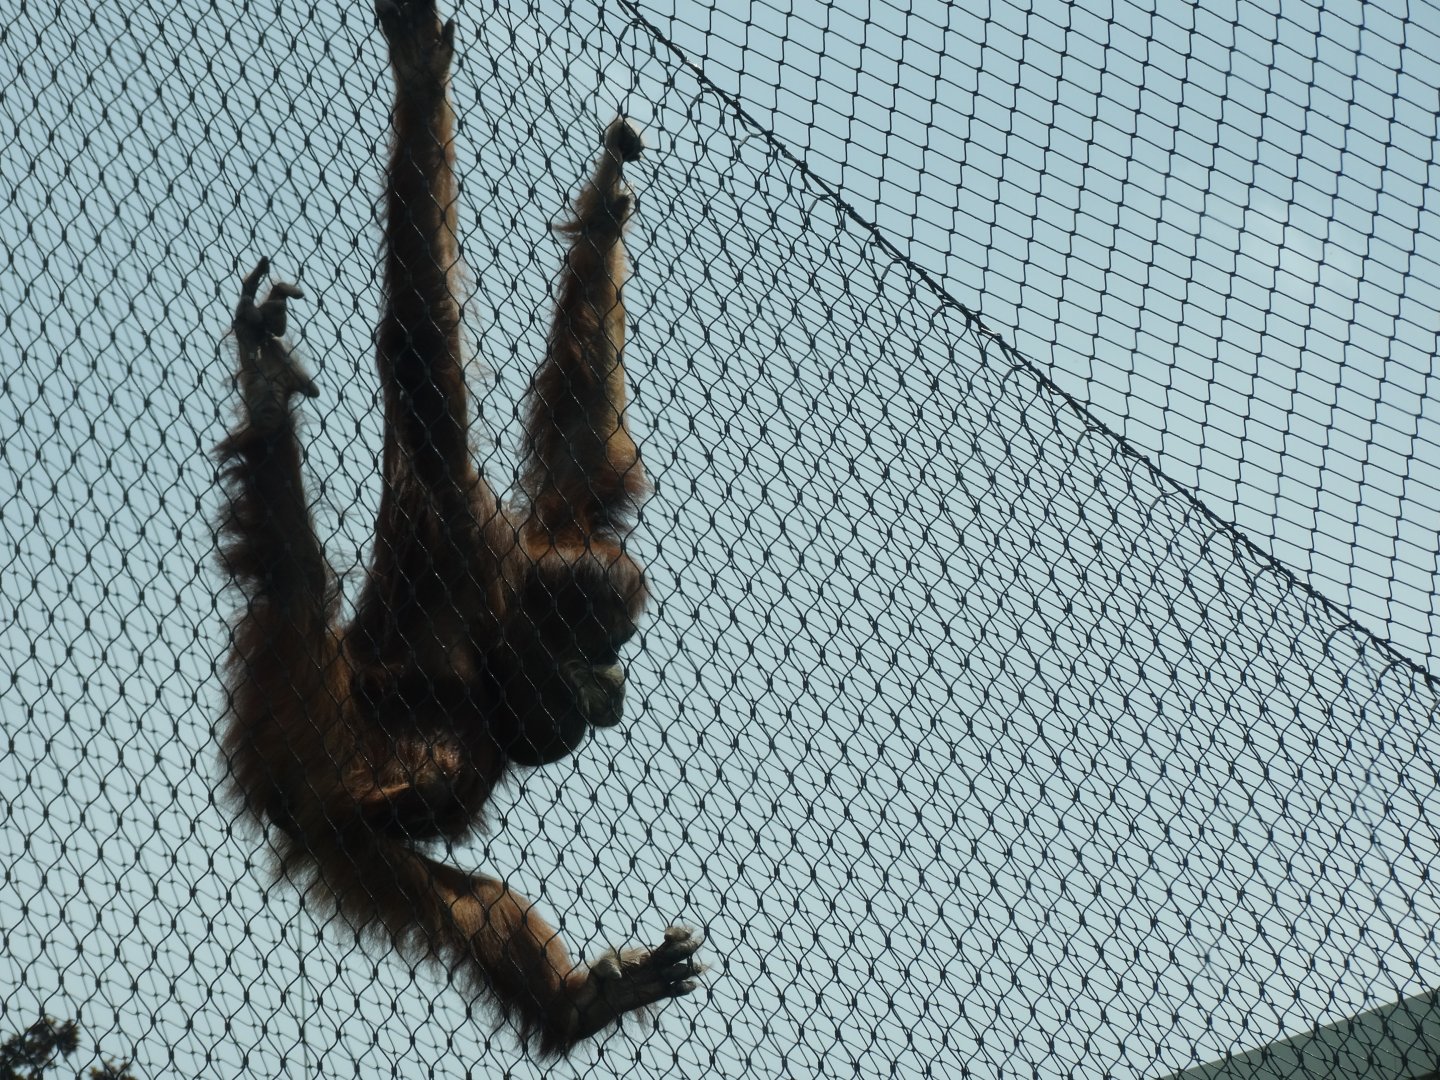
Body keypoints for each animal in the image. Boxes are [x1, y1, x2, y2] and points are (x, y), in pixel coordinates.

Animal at [214, 0, 702, 1055]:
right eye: (602, 646)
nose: (615, 683)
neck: (503, 614)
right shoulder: (457, 523)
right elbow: (420, 346)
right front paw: (421, 78)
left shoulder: (551, 525)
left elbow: (586, 445)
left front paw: (604, 207)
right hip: (308, 723)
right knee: (389, 695)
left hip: (331, 819)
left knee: (444, 886)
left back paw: (581, 1002)